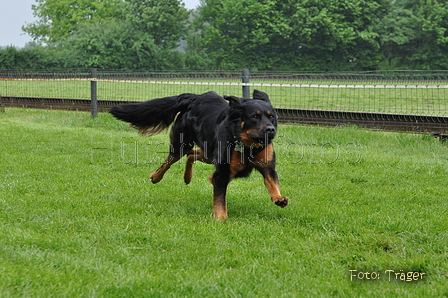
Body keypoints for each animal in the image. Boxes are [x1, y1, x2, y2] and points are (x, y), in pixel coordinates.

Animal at [110, 89, 288, 220]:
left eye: (272, 116)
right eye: (254, 116)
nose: (271, 129)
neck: (246, 143)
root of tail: (195, 97)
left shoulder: (267, 165)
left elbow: (272, 181)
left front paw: (279, 198)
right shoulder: (222, 172)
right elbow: (220, 198)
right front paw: (221, 218)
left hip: (208, 151)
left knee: (192, 155)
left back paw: (187, 177)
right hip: (181, 144)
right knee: (170, 160)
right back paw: (156, 176)